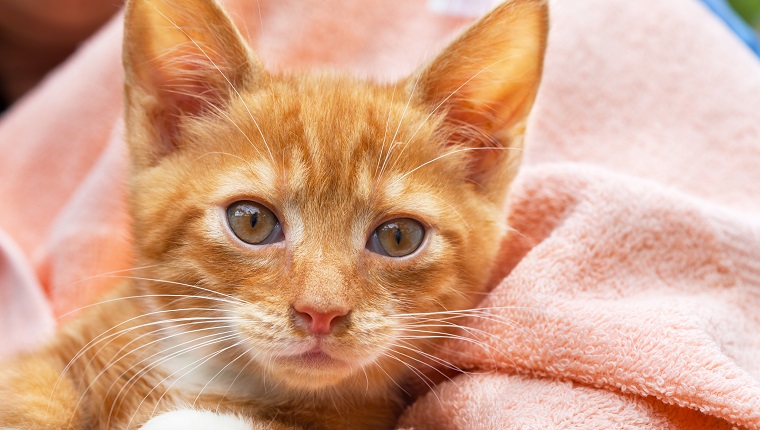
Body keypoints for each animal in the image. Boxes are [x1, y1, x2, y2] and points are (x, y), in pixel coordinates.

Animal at [0, 0, 548, 428]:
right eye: (252, 221)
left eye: (398, 237)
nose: (321, 313)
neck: (217, 377)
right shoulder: (57, 354)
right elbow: (29, 393)